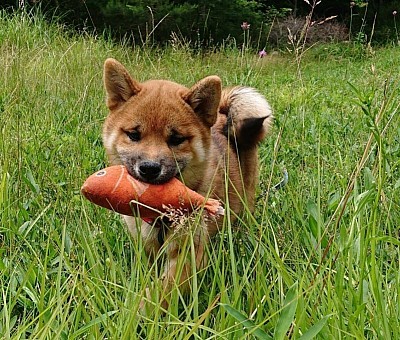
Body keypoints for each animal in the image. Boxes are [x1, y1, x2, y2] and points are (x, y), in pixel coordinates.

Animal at [101, 57, 274, 308]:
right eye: (134, 135)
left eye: (176, 139)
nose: (149, 168)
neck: (161, 216)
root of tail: (223, 118)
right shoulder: (146, 247)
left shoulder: (189, 253)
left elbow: (162, 292)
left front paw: (141, 312)